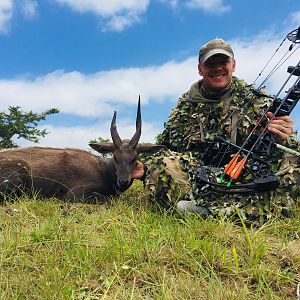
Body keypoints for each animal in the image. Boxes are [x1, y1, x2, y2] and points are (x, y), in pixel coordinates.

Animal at [0, 97, 164, 203]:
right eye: (115, 157)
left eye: (134, 158)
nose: (123, 181)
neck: (104, 171)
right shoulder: (75, 194)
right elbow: (109, 200)